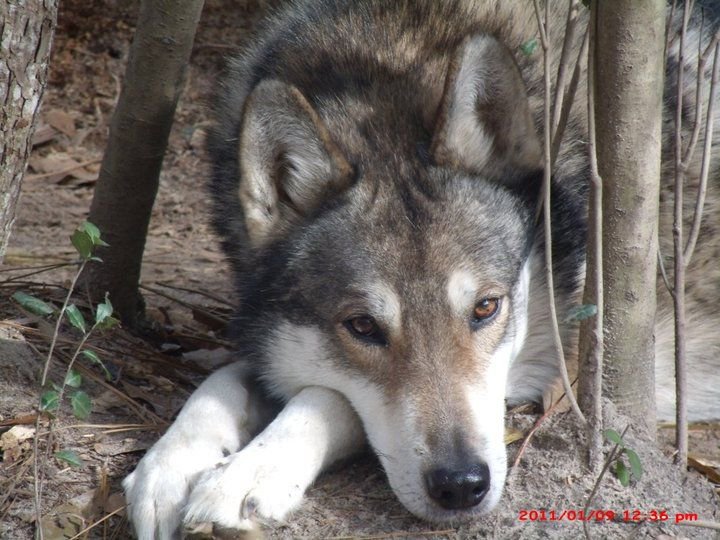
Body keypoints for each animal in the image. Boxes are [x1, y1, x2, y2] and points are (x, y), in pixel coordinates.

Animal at [123, 1, 720, 538]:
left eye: (485, 308)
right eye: (363, 327)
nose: (461, 485)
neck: (390, 56)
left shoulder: (563, 367)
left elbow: (329, 397)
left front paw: (247, 472)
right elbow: (222, 379)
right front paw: (168, 468)